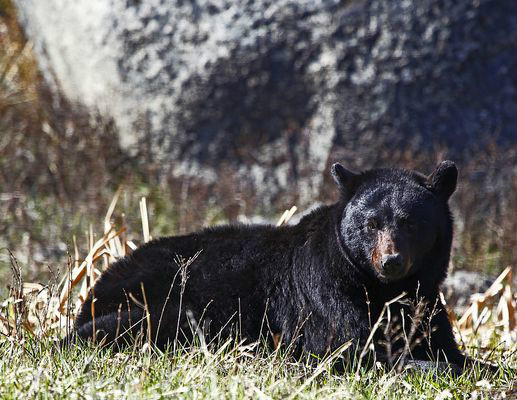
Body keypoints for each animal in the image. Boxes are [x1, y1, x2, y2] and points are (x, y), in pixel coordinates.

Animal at [69, 162, 484, 372]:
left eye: (411, 222)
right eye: (371, 224)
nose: (391, 261)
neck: (383, 289)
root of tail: (91, 292)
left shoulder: (425, 301)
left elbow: (443, 346)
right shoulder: (325, 295)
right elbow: (349, 346)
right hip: (161, 309)